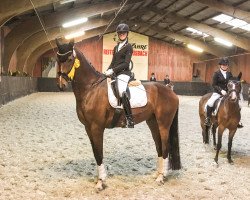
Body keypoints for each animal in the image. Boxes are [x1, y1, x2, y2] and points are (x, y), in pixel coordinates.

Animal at [54, 39, 181, 191]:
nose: (61, 85)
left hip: (163, 125)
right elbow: (96, 153)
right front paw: (100, 179)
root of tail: (171, 92)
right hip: (153, 123)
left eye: (69, 59)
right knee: (159, 147)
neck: (90, 88)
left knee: (165, 147)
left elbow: (99, 153)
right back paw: (158, 174)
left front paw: (100, 182)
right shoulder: (88, 128)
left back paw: (162, 177)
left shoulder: (96, 127)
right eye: (57, 60)